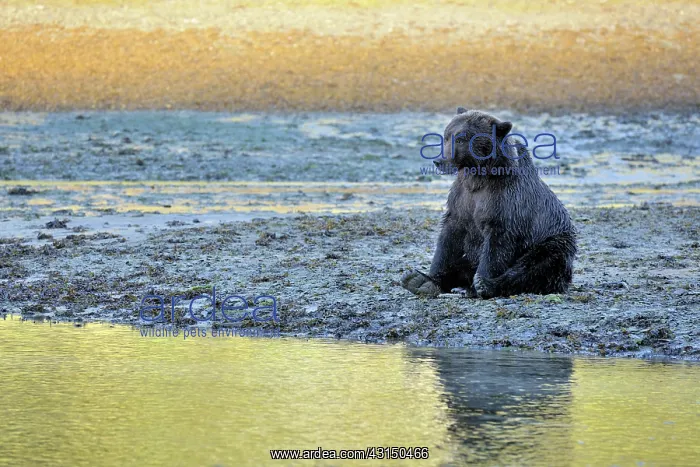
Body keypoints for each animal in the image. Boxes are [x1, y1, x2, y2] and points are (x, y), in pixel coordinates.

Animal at [401, 108, 576, 299]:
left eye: (461, 139)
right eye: (446, 136)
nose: (439, 161)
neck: (478, 178)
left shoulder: (506, 201)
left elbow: (497, 244)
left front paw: (481, 281)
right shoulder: (461, 198)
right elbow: (449, 238)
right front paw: (429, 279)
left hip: (553, 241)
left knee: (539, 264)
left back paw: (484, 286)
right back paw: (417, 281)